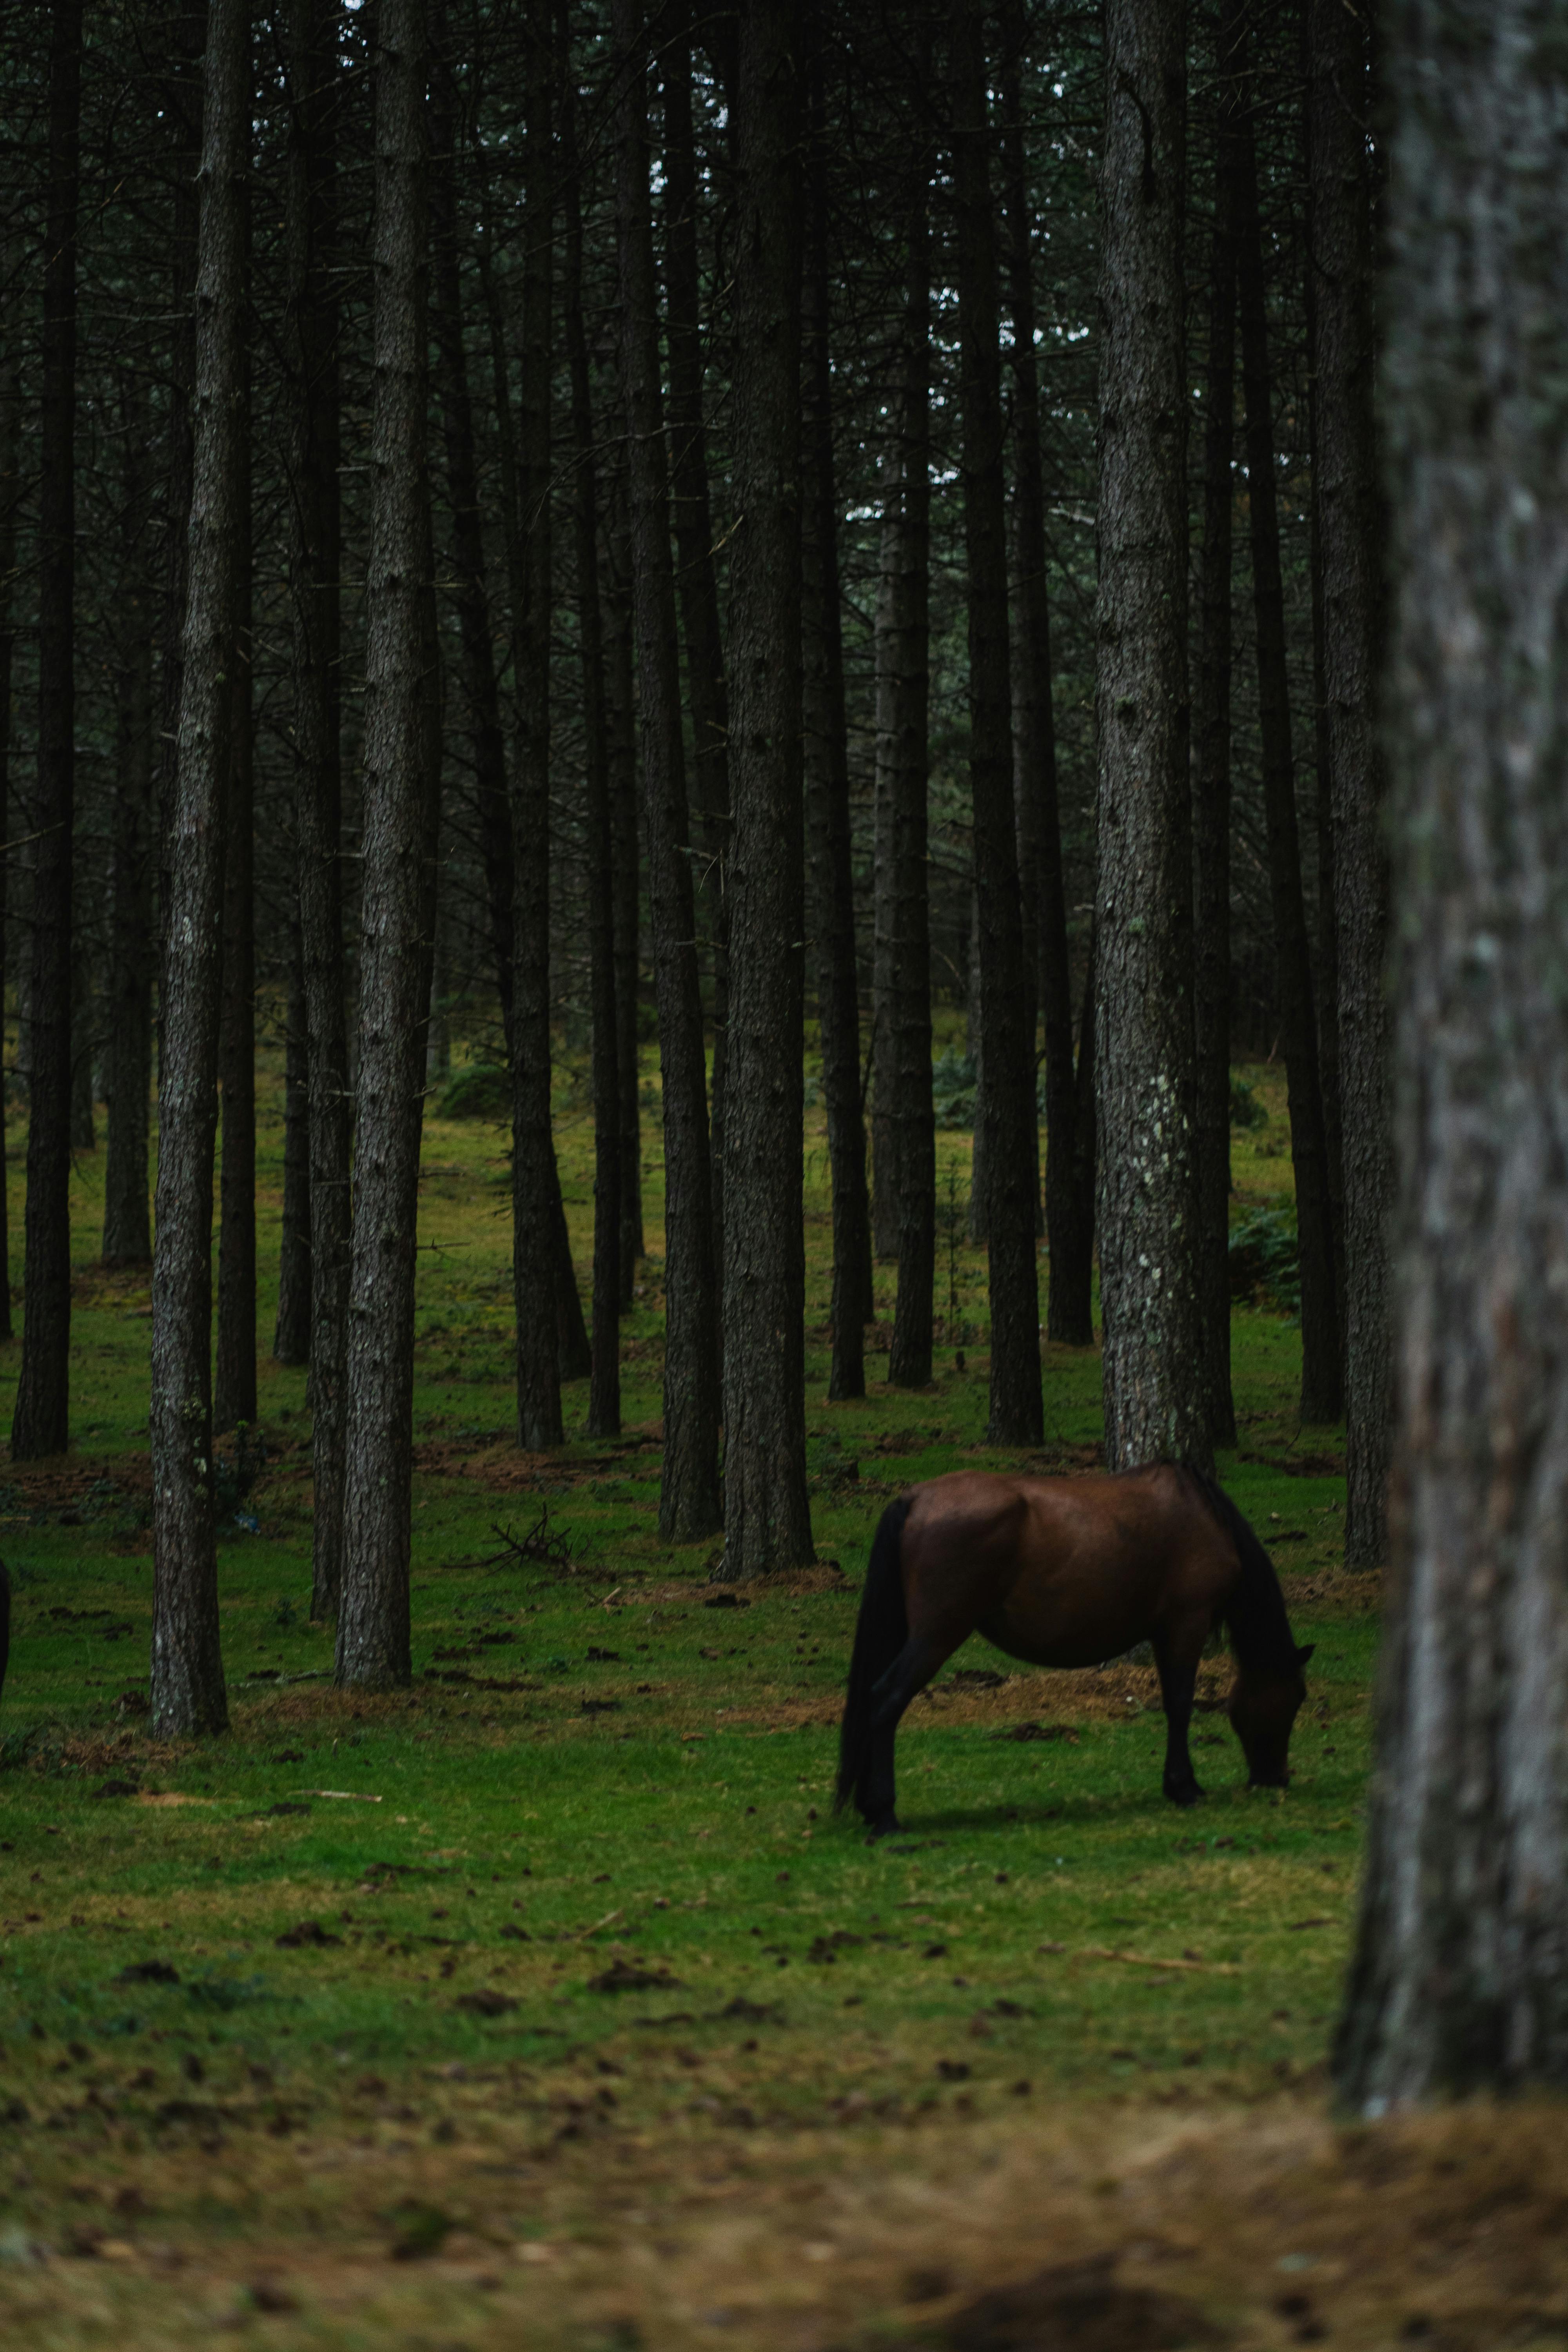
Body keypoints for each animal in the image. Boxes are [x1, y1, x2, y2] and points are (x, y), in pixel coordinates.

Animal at [835, 1462, 1312, 1838]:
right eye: (1296, 1698)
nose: (1276, 1779)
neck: (1203, 1517)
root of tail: (916, 1499)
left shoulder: (1163, 1633)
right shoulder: (1186, 1625)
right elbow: (1180, 1705)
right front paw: (1185, 1787)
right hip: (936, 1636)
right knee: (885, 1699)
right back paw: (884, 1815)